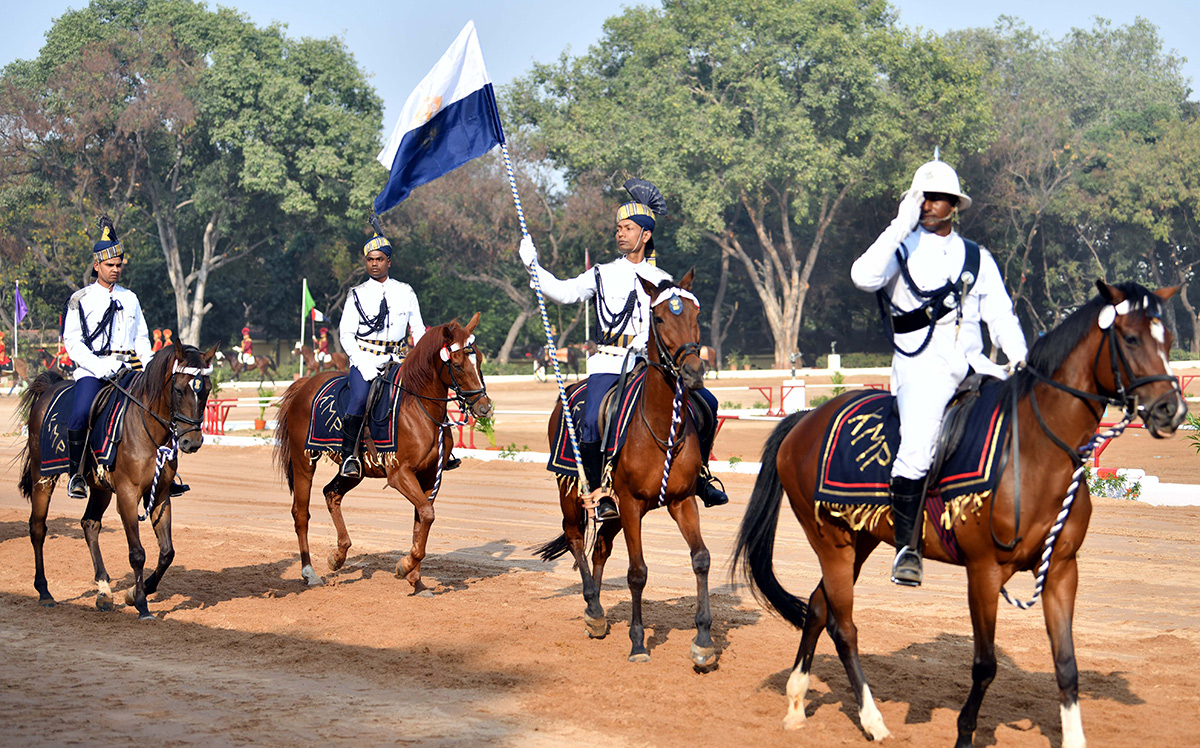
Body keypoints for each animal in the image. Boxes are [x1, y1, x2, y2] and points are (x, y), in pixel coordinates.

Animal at [16, 340, 216, 619]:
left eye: (206, 390)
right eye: (177, 389)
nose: (192, 442)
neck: (146, 428)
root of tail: (49, 389)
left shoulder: (160, 494)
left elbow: (167, 552)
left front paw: (139, 591)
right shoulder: (128, 495)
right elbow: (137, 553)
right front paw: (141, 603)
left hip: (100, 488)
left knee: (90, 524)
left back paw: (104, 591)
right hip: (42, 477)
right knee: (37, 528)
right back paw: (44, 592)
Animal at [272, 312, 492, 593]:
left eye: (480, 359)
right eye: (456, 364)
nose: (484, 406)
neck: (417, 407)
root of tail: (304, 385)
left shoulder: (429, 476)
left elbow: (422, 520)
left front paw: (416, 579)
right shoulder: (400, 475)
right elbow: (427, 515)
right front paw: (406, 567)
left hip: (353, 470)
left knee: (331, 493)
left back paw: (338, 555)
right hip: (304, 462)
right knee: (301, 513)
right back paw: (309, 573)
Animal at [532, 272, 710, 672]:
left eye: (696, 314)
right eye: (660, 317)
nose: (693, 373)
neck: (660, 423)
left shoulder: (682, 500)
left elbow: (701, 559)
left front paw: (704, 643)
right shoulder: (630, 504)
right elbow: (637, 572)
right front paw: (639, 642)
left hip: (611, 509)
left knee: (600, 547)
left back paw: (595, 609)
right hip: (571, 491)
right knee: (575, 538)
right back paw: (593, 605)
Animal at [734, 282, 1185, 748]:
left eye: (1168, 339)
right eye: (1130, 339)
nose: (1171, 409)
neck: (1033, 452)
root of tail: (805, 420)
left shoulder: (1061, 569)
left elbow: (1066, 664)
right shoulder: (983, 573)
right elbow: (985, 664)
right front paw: (965, 733)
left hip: (859, 540)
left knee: (819, 606)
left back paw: (796, 703)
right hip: (831, 542)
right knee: (844, 627)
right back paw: (872, 719)